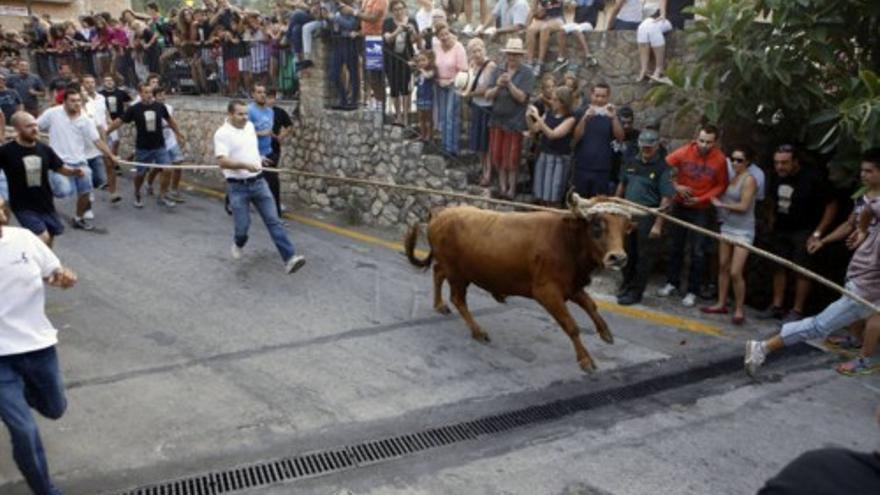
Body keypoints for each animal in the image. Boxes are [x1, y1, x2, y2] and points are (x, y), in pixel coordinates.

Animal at [406, 194, 640, 372]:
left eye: (625, 228)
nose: (618, 258)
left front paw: (606, 333)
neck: (566, 240)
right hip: (458, 273)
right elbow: (571, 325)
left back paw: (440, 305)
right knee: (457, 298)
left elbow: (591, 305)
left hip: (450, 268)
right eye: (597, 225)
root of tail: (441, 213)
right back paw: (478, 331)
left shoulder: (572, 286)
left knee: (437, 273)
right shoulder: (547, 292)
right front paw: (585, 359)